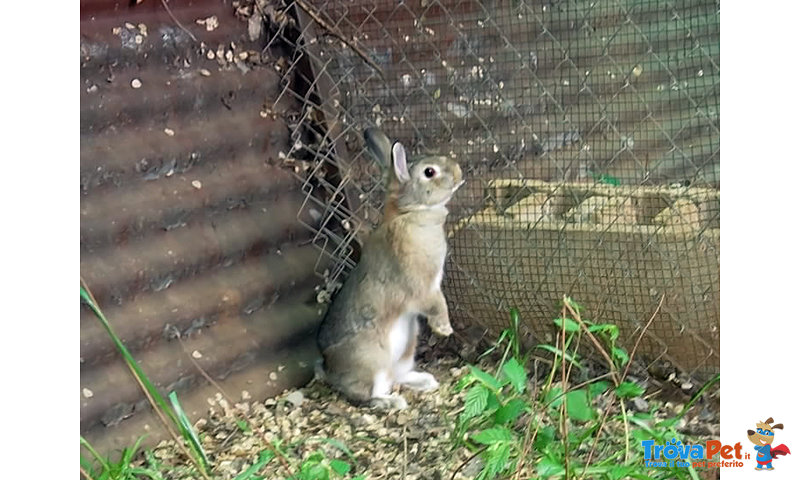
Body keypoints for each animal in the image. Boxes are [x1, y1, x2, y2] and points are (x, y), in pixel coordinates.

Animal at [312, 127, 462, 408]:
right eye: (429, 172)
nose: (458, 172)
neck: (408, 212)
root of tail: (329, 370)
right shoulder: (423, 286)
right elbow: (437, 305)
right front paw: (445, 329)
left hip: (406, 347)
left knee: (398, 376)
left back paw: (425, 382)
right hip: (373, 361)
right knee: (368, 394)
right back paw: (392, 403)